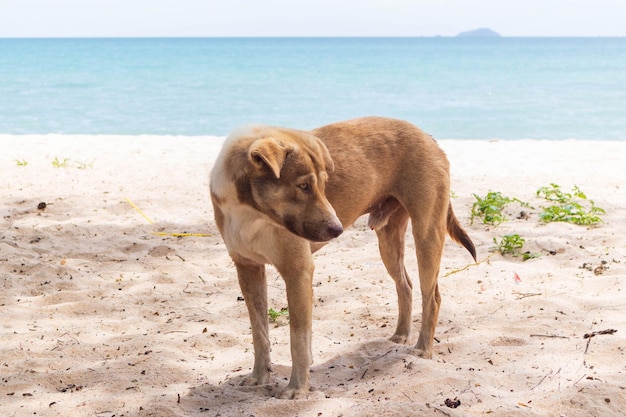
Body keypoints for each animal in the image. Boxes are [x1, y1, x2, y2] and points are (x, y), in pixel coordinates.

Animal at [208, 115, 472, 398]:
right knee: (406, 285)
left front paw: (297, 389)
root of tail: (427, 136)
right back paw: (401, 335)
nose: (337, 230)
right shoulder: (248, 269)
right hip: (388, 241)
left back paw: (423, 350)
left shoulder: (298, 271)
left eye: (324, 185)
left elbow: (298, 339)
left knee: (431, 296)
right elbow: (259, 333)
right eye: (303, 186)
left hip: (427, 233)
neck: (252, 213)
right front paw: (259, 377)